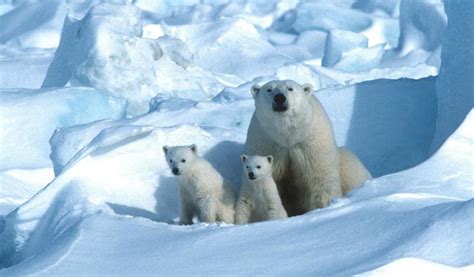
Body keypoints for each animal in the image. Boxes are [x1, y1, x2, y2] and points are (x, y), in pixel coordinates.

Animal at [244, 78, 370, 215]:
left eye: (290, 88)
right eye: (269, 89)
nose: (280, 98)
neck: (288, 136)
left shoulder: (311, 143)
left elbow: (320, 178)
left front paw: (323, 207)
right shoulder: (266, 142)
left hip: (347, 163)